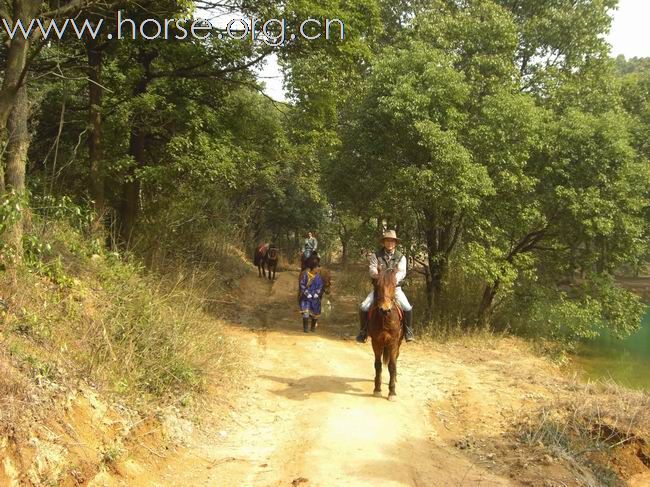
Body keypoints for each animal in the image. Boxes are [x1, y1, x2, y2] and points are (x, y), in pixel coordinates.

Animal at [368, 268, 402, 402]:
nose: (385, 309)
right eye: (377, 285)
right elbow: (377, 365)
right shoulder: (376, 342)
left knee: (395, 359)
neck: (385, 318)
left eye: (394, 285)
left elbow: (392, 365)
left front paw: (392, 392)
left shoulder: (393, 342)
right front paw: (377, 389)